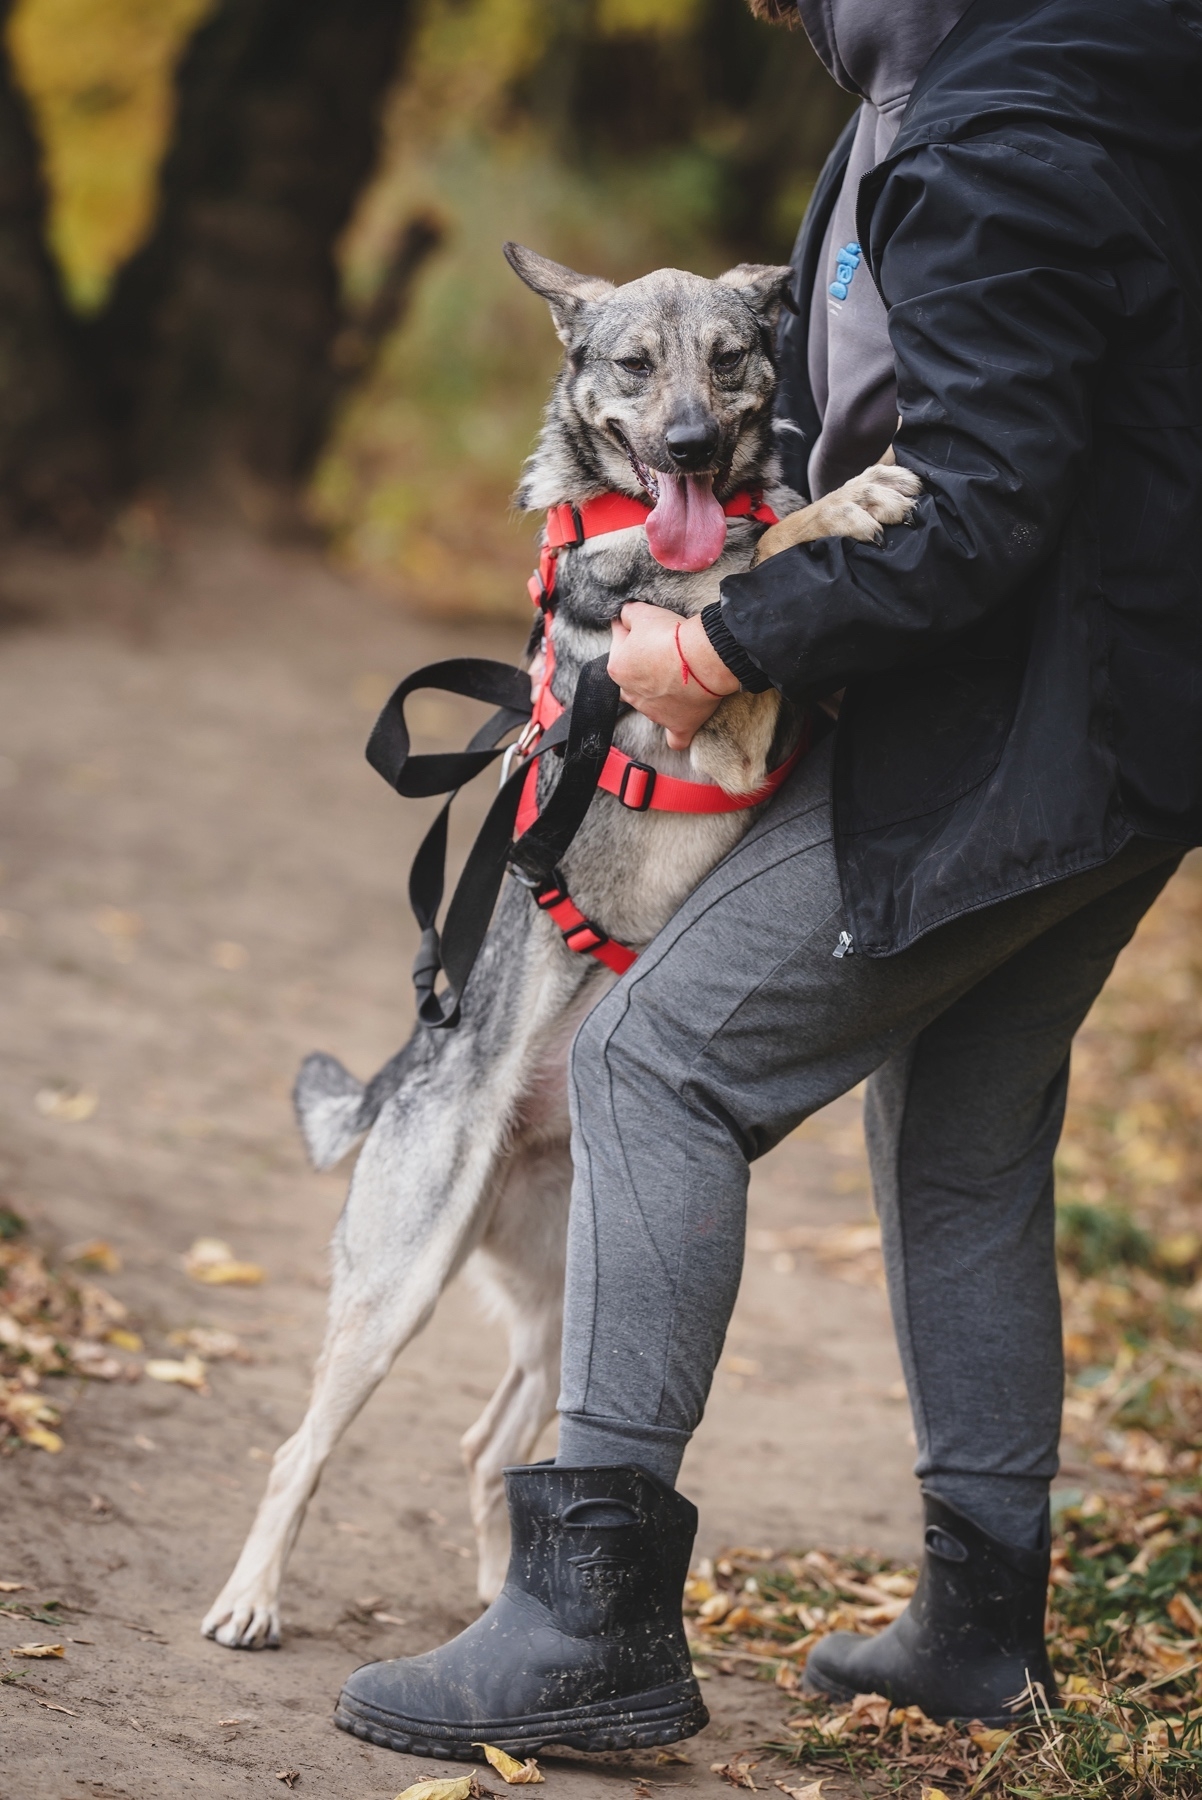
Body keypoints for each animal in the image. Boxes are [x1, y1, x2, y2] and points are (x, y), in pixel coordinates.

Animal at [201, 246, 920, 1648]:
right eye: (632, 368)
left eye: (729, 357)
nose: (688, 443)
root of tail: (415, 1087)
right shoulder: (712, 715)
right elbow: (762, 562)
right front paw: (847, 498)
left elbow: (767, 570)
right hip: (399, 1287)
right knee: (299, 1448)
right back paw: (251, 1599)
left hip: (563, 1302)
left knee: (490, 1447)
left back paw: (497, 1597)